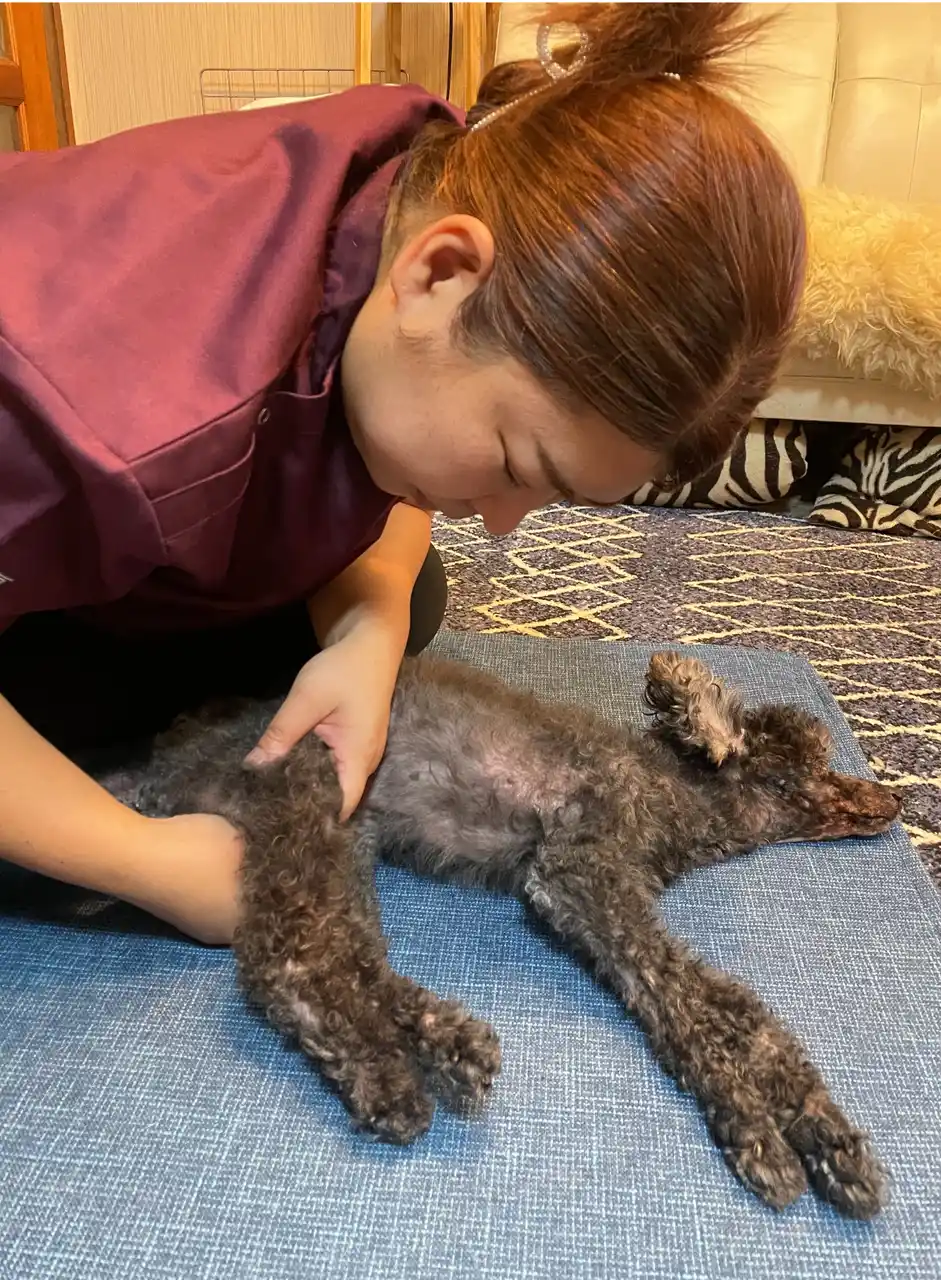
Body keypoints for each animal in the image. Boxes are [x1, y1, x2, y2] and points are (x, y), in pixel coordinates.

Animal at [103, 651, 901, 1219]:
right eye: (815, 772)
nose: (891, 800)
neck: (681, 803)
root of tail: (160, 768)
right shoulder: (578, 878)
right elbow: (693, 1010)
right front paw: (760, 1132)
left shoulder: (604, 896)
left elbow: (742, 1015)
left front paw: (831, 1142)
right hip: (311, 791)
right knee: (293, 961)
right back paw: (395, 1081)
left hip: (342, 829)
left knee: (345, 956)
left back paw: (443, 1045)